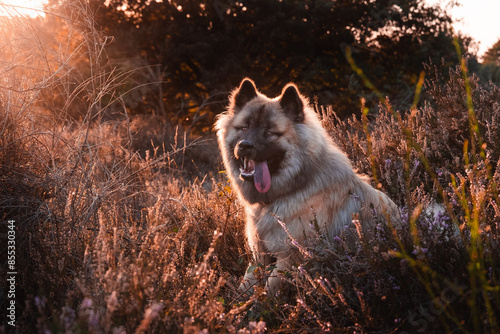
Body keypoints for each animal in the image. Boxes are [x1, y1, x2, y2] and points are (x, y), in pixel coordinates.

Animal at [214, 78, 398, 294]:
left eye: (270, 133)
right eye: (244, 128)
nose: (244, 145)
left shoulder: (288, 259)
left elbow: (266, 295)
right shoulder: (259, 259)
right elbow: (244, 289)